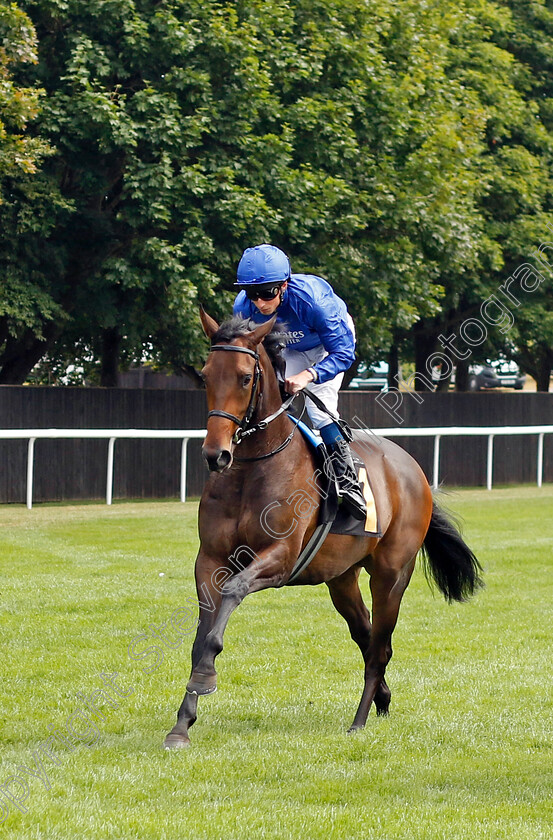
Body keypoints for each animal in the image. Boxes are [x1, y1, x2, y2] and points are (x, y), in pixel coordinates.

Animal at [162, 312, 480, 752]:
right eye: (207, 374)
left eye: (244, 377)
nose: (216, 454)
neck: (251, 469)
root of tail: (413, 469)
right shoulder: (209, 560)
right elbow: (201, 633)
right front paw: (182, 723)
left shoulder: (279, 559)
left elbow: (229, 599)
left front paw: (206, 678)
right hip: (341, 579)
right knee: (367, 636)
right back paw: (383, 699)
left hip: (391, 575)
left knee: (379, 647)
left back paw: (360, 720)